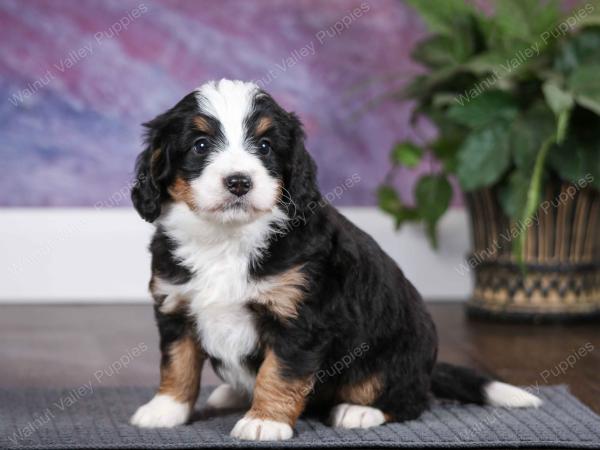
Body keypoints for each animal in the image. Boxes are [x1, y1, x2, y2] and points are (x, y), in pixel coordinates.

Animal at [129, 80, 540, 440]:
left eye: (264, 146)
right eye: (200, 145)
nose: (239, 182)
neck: (227, 239)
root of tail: (427, 368)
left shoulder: (300, 319)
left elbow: (278, 374)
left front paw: (265, 422)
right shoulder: (176, 306)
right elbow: (177, 363)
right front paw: (166, 410)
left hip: (397, 354)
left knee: (410, 400)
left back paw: (359, 411)